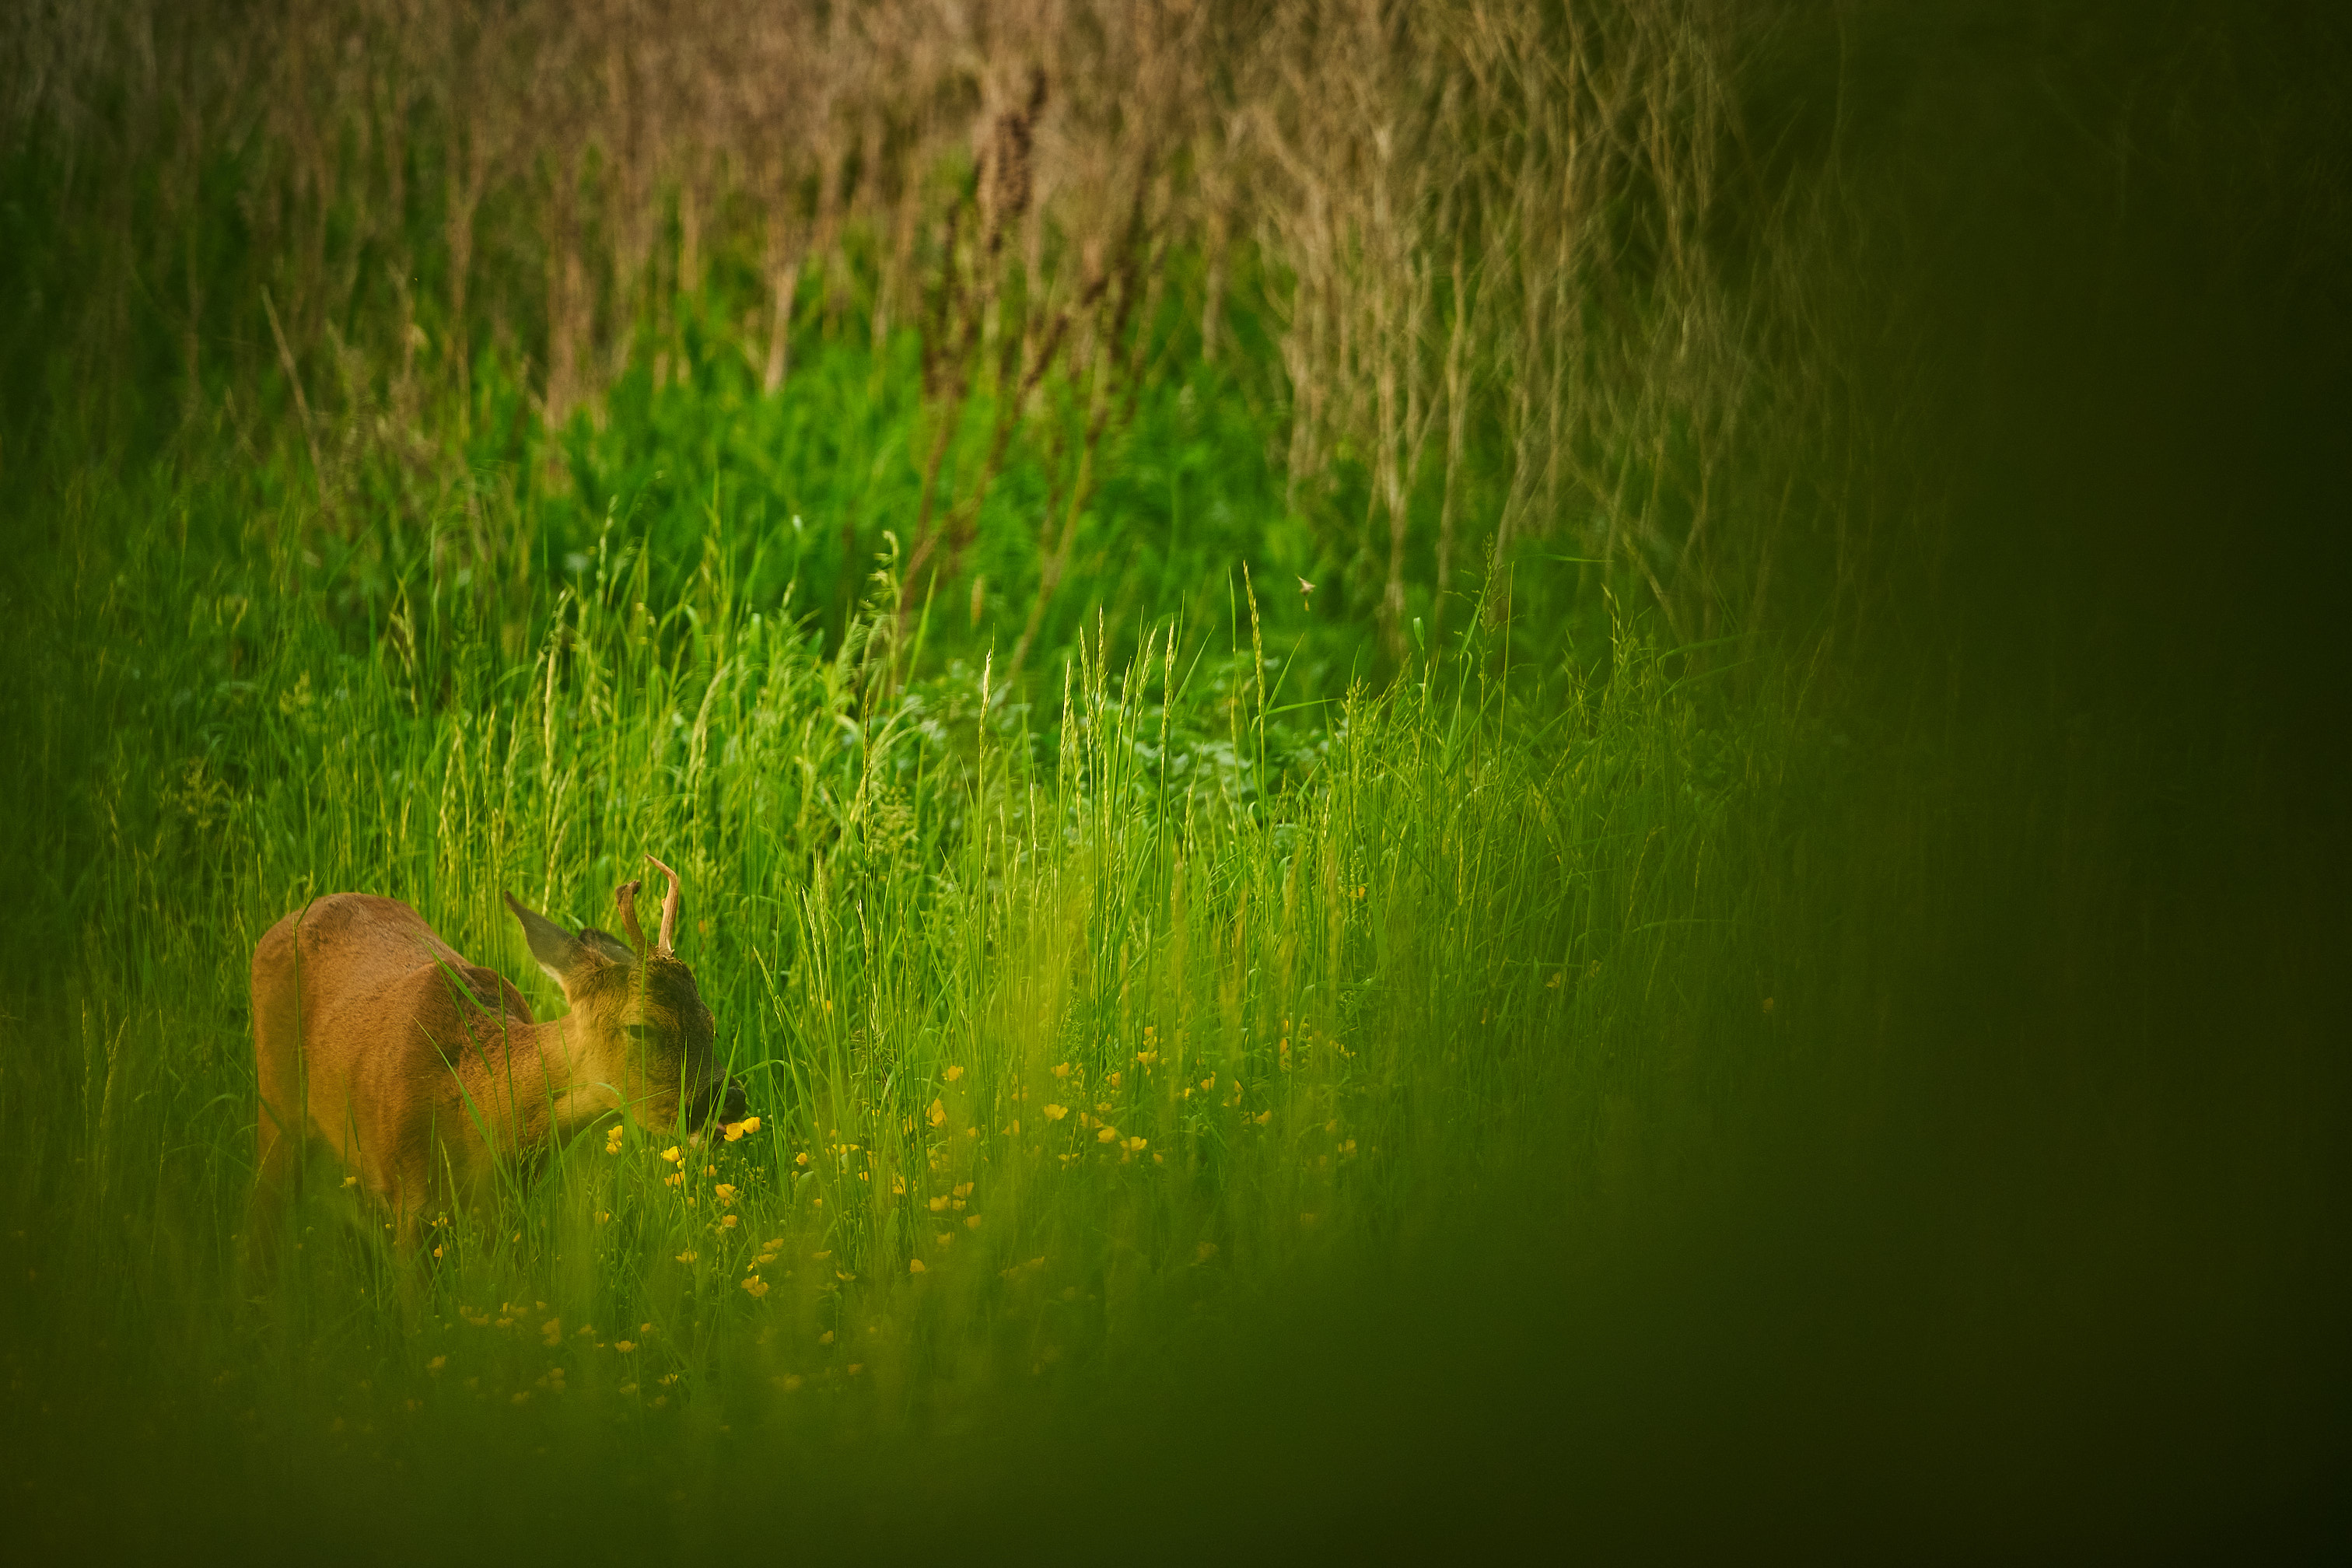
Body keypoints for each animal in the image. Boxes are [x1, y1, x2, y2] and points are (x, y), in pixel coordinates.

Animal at [248, 854, 747, 1254]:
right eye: (641, 1027)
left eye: (710, 1021)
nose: (728, 1097)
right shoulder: (410, 1203)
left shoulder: (505, 1209)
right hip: (277, 1108)